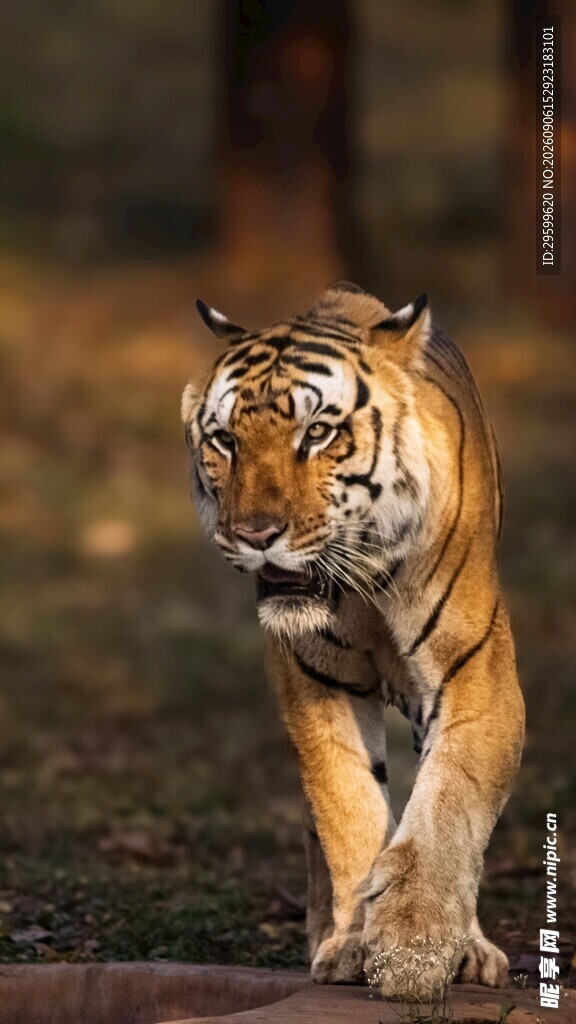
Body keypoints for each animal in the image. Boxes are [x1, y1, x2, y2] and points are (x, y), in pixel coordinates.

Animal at [181, 281, 525, 997]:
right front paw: (354, 946)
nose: (255, 534)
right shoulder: (316, 683)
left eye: (317, 433)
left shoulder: (475, 677)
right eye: (224, 439)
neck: (365, 579)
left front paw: (417, 946)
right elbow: (348, 805)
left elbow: (447, 803)